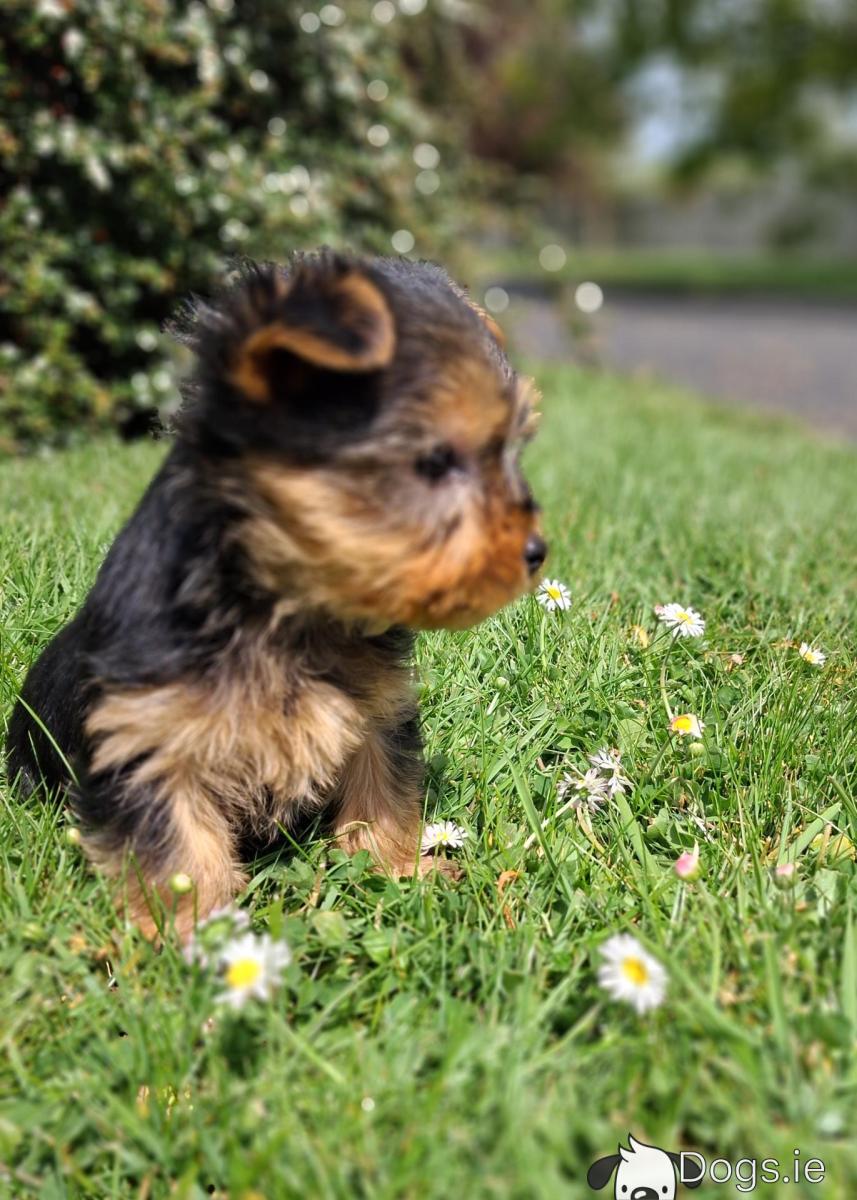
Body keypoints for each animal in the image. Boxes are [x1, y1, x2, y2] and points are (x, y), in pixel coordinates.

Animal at [6, 250, 546, 939]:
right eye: (432, 462)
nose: (535, 551)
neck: (282, 605)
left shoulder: (378, 708)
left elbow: (383, 788)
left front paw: (397, 872)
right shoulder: (145, 739)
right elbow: (177, 850)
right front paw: (194, 935)